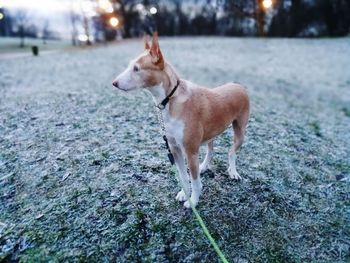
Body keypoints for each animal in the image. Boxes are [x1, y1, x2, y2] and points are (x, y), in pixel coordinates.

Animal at [112, 34, 249, 209]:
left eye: (136, 69)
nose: (114, 83)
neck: (169, 100)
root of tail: (237, 85)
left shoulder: (190, 152)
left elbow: (195, 182)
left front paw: (194, 202)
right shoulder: (175, 149)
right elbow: (184, 177)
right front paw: (185, 194)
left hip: (240, 132)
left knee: (231, 152)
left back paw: (233, 171)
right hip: (210, 133)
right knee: (211, 150)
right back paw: (204, 166)